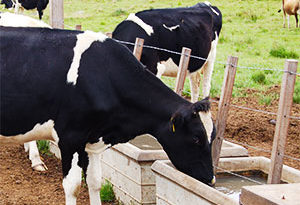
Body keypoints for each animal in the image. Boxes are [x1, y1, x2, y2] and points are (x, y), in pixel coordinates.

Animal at [0, 26, 216, 204]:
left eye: (212, 137)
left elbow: (95, 181)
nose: (211, 179)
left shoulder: (94, 139)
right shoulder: (70, 137)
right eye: (196, 138)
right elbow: (73, 186)